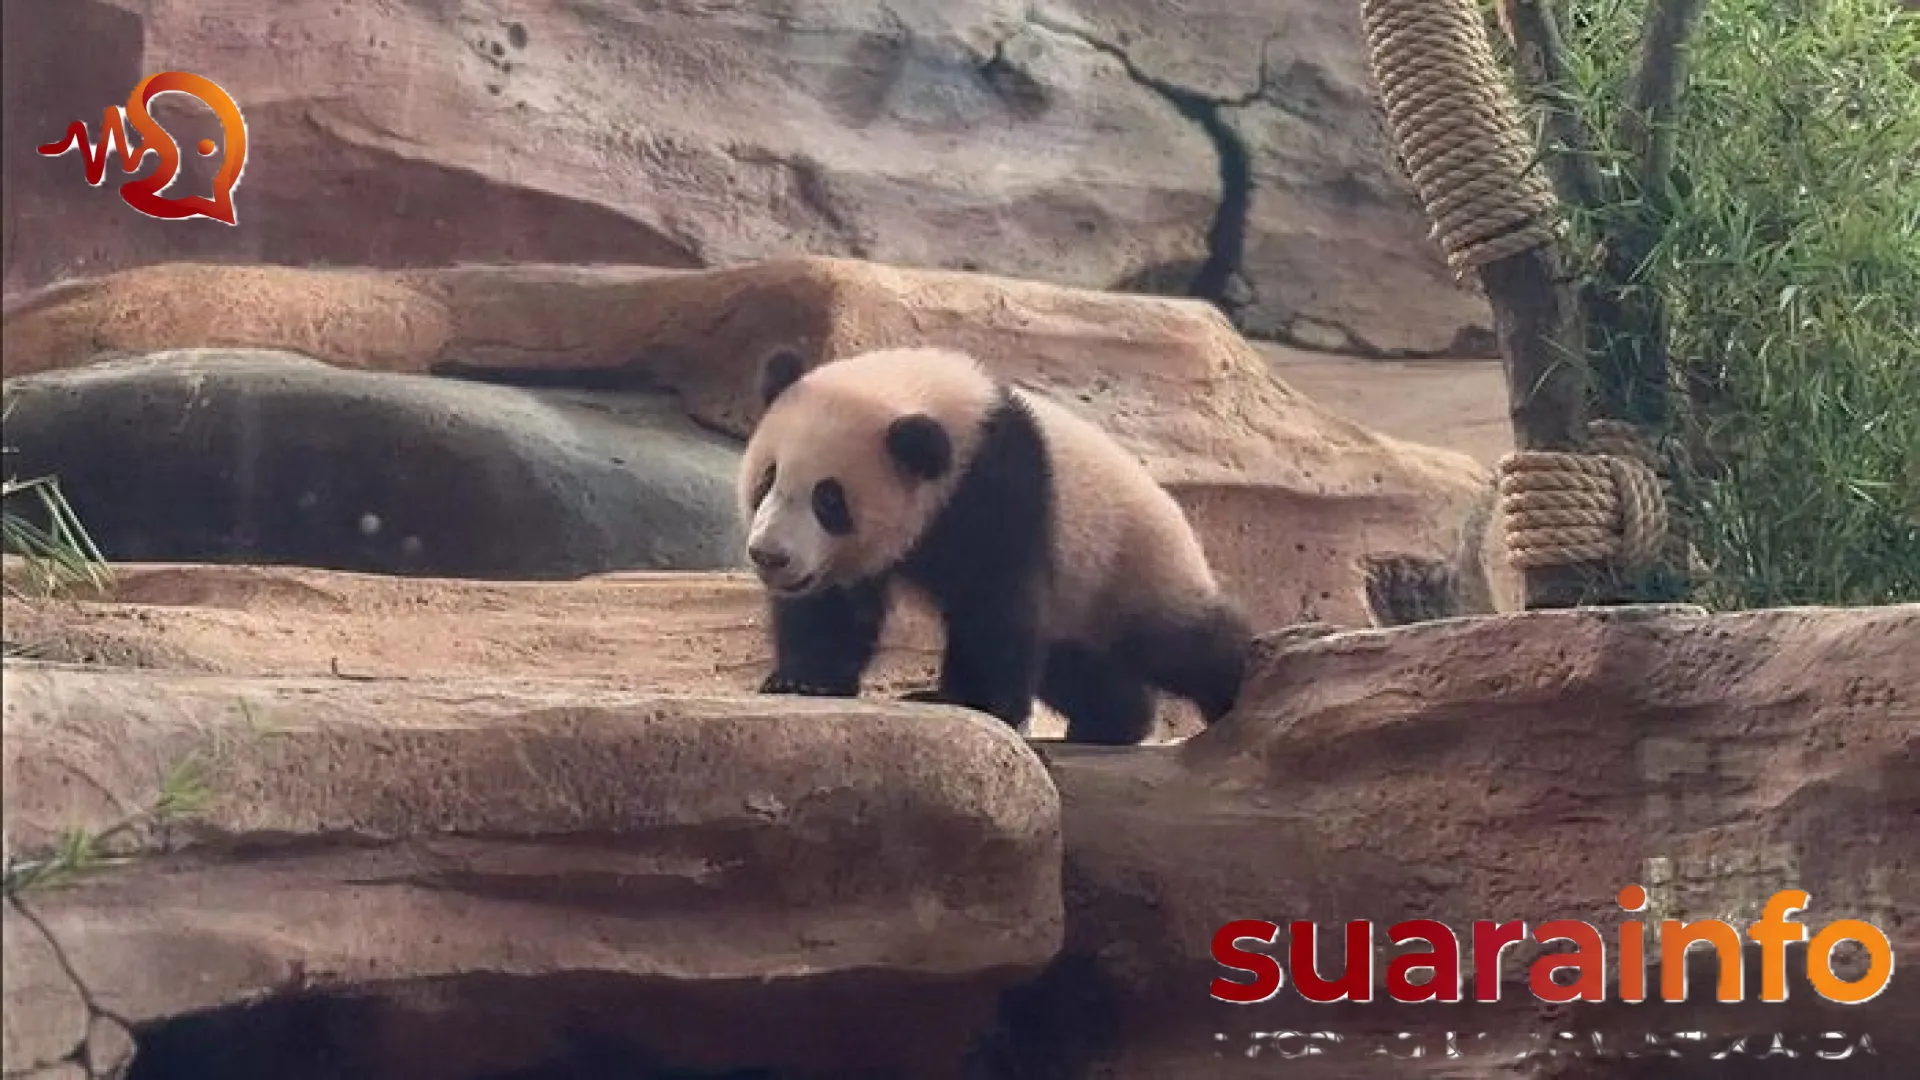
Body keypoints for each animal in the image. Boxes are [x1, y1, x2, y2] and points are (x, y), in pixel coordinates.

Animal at [736, 343, 1253, 745]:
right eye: (768, 478)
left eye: (828, 499)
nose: (770, 556)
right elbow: (834, 608)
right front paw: (805, 680)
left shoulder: (999, 487)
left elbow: (993, 602)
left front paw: (971, 701)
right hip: (1080, 605)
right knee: (1077, 664)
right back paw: (1113, 722)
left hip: (1130, 563)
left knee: (1183, 643)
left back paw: (1240, 690)